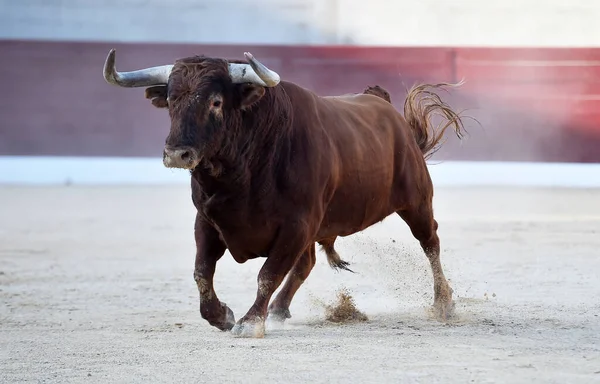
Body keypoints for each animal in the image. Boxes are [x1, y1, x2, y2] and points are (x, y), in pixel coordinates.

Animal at [103, 49, 466, 338]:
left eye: (216, 102)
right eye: (171, 100)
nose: (177, 154)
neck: (241, 174)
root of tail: (384, 105)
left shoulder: (296, 225)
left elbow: (268, 274)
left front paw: (250, 322)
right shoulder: (206, 221)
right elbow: (201, 273)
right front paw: (223, 316)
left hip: (417, 201)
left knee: (430, 242)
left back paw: (443, 302)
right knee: (306, 263)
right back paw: (279, 309)